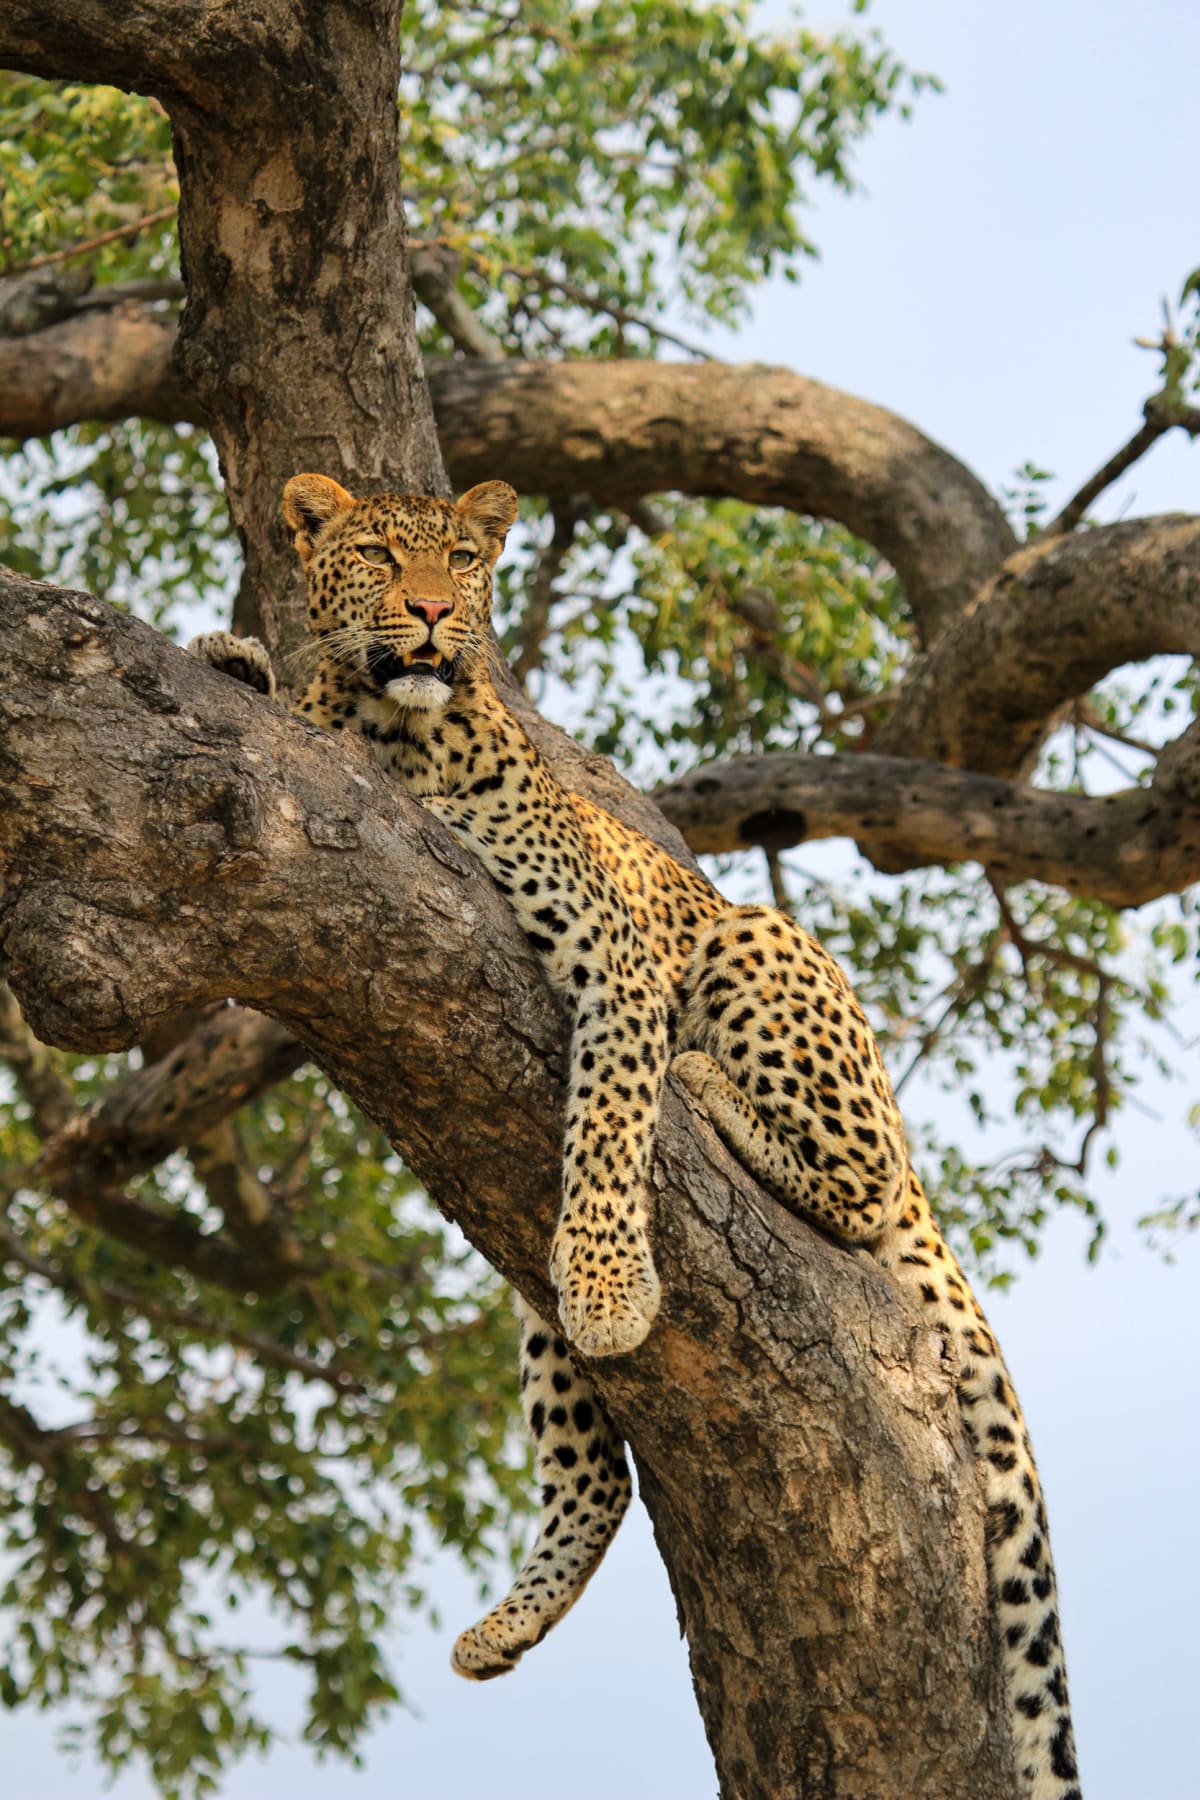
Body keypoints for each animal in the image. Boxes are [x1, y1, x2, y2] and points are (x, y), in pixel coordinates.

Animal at [190, 472, 1080, 1800]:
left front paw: (614, 1288)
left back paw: (712, 1093)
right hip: (535, 1288)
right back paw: (508, 1625)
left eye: (462, 559)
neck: (393, 735)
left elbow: (610, 1122)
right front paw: (232, 656)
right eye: (378, 553)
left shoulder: (614, 957)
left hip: (755, 943)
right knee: (593, 1469)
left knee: (861, 1185)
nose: (433, 612)